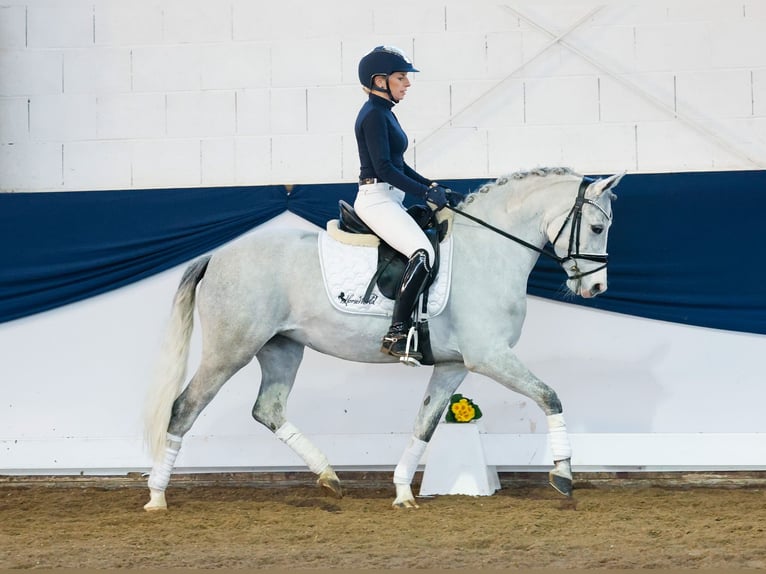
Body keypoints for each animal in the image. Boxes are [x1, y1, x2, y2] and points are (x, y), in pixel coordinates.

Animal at [144, 168, 624, 512]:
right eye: (598, 228)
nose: (596, 289)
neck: (488, 251)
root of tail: (216, 255)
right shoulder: (489, 356)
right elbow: (549, 396)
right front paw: (563, 474)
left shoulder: (454, 365)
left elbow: (424, 423)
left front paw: (402, 492)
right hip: (230, 350)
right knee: (184, 409)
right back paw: (157, 497)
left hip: (282, 348)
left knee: (269, 409)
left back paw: (329, 477)